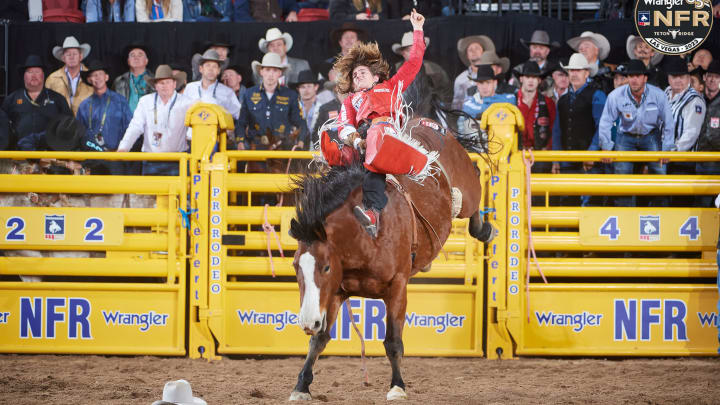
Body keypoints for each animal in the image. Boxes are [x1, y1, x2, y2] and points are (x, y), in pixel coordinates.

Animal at [288, 117, 496, 400]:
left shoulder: (397, 287)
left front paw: (397, 386)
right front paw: (302, 385)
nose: (308, 322)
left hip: (469, 187)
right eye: (295, 266)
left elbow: (393, 342)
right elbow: (319, 340)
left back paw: (484, 228)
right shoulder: (336, 292)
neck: (364, 235)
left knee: (472, 201)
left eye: (326, 267)